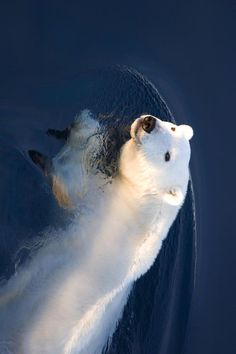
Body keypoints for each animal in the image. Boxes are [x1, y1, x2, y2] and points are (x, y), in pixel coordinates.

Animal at [0, 113, 193, 354]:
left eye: (167, 156)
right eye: (172, 128)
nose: (149, 122)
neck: (141, 206)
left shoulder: (103, 209)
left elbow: (71, 188)